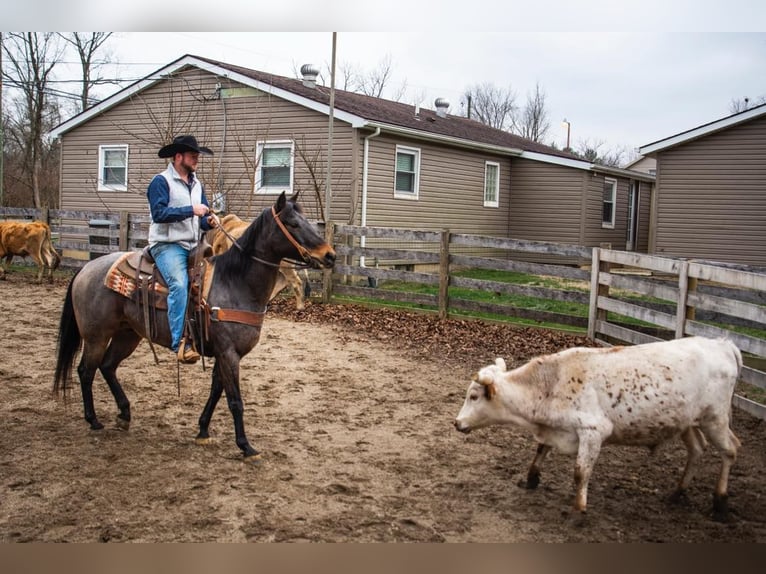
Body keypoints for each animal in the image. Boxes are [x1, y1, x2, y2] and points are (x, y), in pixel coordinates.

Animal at [54, 194, 336, 464]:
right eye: (292, 223)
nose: (330, 255)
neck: (235, 283)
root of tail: (86, 268)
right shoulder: (229, 354)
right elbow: (235, 401)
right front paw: (246, 447)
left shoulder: (224, 354)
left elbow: (216, 391)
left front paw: (202, 431)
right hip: (96, 337)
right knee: (86, 371)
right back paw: (93, 419)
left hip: (128, 334)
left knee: (108, 366)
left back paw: (124, 414)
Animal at [456, 338, 744, 520]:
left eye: (473, 396)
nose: (457, 423)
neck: (551, 384)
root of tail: (724, 344)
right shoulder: (555, 429)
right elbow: (541, 449)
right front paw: (531, 478)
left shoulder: (593, 431)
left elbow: (580, 473)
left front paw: (578, 511)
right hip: (687, 422)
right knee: (697, 449)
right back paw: (677, 493)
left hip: (715, 418)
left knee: (731, 450)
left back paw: (720, 502)